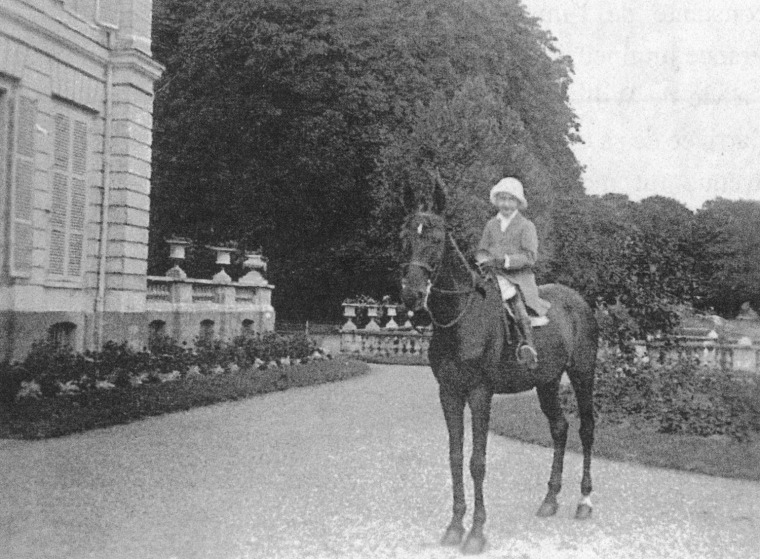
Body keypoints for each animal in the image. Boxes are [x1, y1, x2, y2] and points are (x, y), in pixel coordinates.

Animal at [400, 185, 596, 556]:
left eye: (435, 238)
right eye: (405, 237)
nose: (412, 294)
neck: (461, 317)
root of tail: (578, 300)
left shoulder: (480, 393)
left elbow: (477, 462)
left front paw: (476, 531)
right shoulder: (448, 392)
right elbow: (455, 457)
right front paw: (454, 526)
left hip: (582, 376)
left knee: (587, 430)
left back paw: (585, 501)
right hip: (547, 381)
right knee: (560, 428)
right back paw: (550, 498)